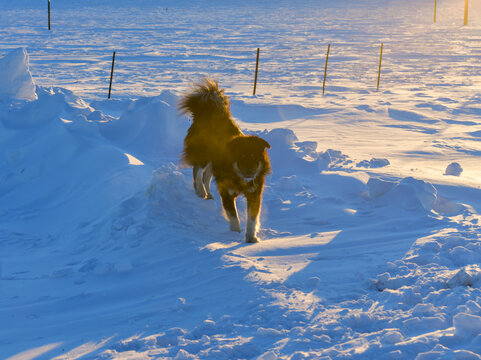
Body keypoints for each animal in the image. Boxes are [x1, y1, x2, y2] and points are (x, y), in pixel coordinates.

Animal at [179, 78, 270, 242]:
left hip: (212, 163)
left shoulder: (254, 193)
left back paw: (208, 194)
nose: (250, 171)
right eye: (241, 157)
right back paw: (200, 191)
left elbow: (252, 218)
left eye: (254, 156)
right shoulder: (227, 192)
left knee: (206, 176)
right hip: (204, 156)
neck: (238, 177)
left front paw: (251, 237)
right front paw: (236, 233)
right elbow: (233, 216)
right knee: (197, 171)